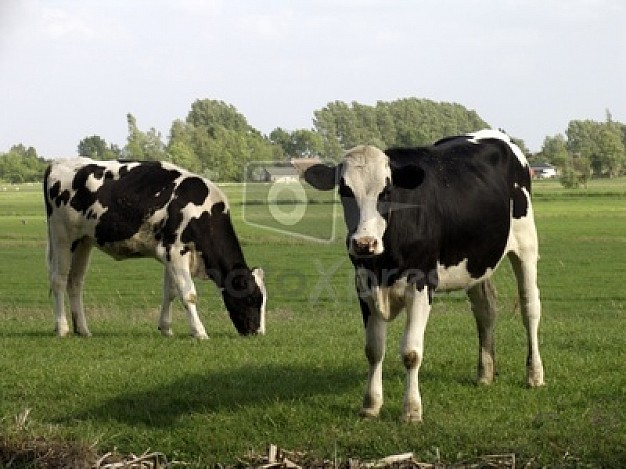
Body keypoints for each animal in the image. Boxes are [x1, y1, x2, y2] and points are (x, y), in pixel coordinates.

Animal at [44, 157, 266, 336]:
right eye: (251, 299)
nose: (258, 333)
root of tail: (57, 163)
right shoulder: (176, 252)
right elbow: (188, 294)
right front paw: (199, 332)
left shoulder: (170, 253)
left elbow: (171, 292)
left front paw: (166, 328)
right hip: (62, 236)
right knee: (58, 280)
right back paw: (62, 328)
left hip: (83, 241)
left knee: (75, 282)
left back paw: (83, 329)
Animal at [304, 130, 544, 422]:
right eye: (344, 190)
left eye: (386, 191)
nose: (364, 243)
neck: (384, 262)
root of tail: (494, 133)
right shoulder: (364, 285)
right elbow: (373, 350)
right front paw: (371, 405)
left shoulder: (421, 283)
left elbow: (410, 352)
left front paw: (411, 411)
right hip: (476, 262)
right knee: (485, 309)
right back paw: (485, 374)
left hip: (526, 244)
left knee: (530, 308)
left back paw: (535, 375)